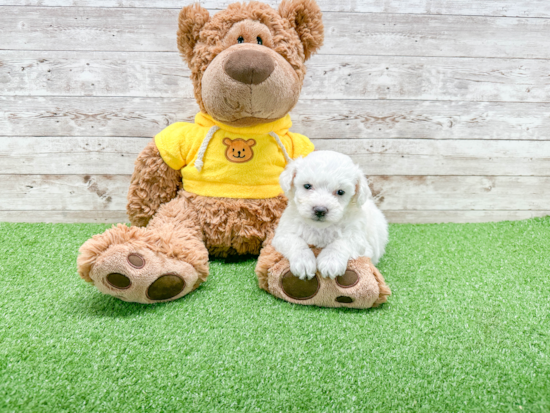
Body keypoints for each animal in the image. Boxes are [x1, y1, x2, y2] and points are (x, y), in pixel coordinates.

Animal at [274, 151, 390, 280]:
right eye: (307, 186)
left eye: (340, 192)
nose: (320, 210)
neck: (320, 228)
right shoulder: (283, 233)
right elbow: (295, 241)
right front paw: (304, 262)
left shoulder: (359, 239)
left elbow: (342, 242)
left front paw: (330, 261)